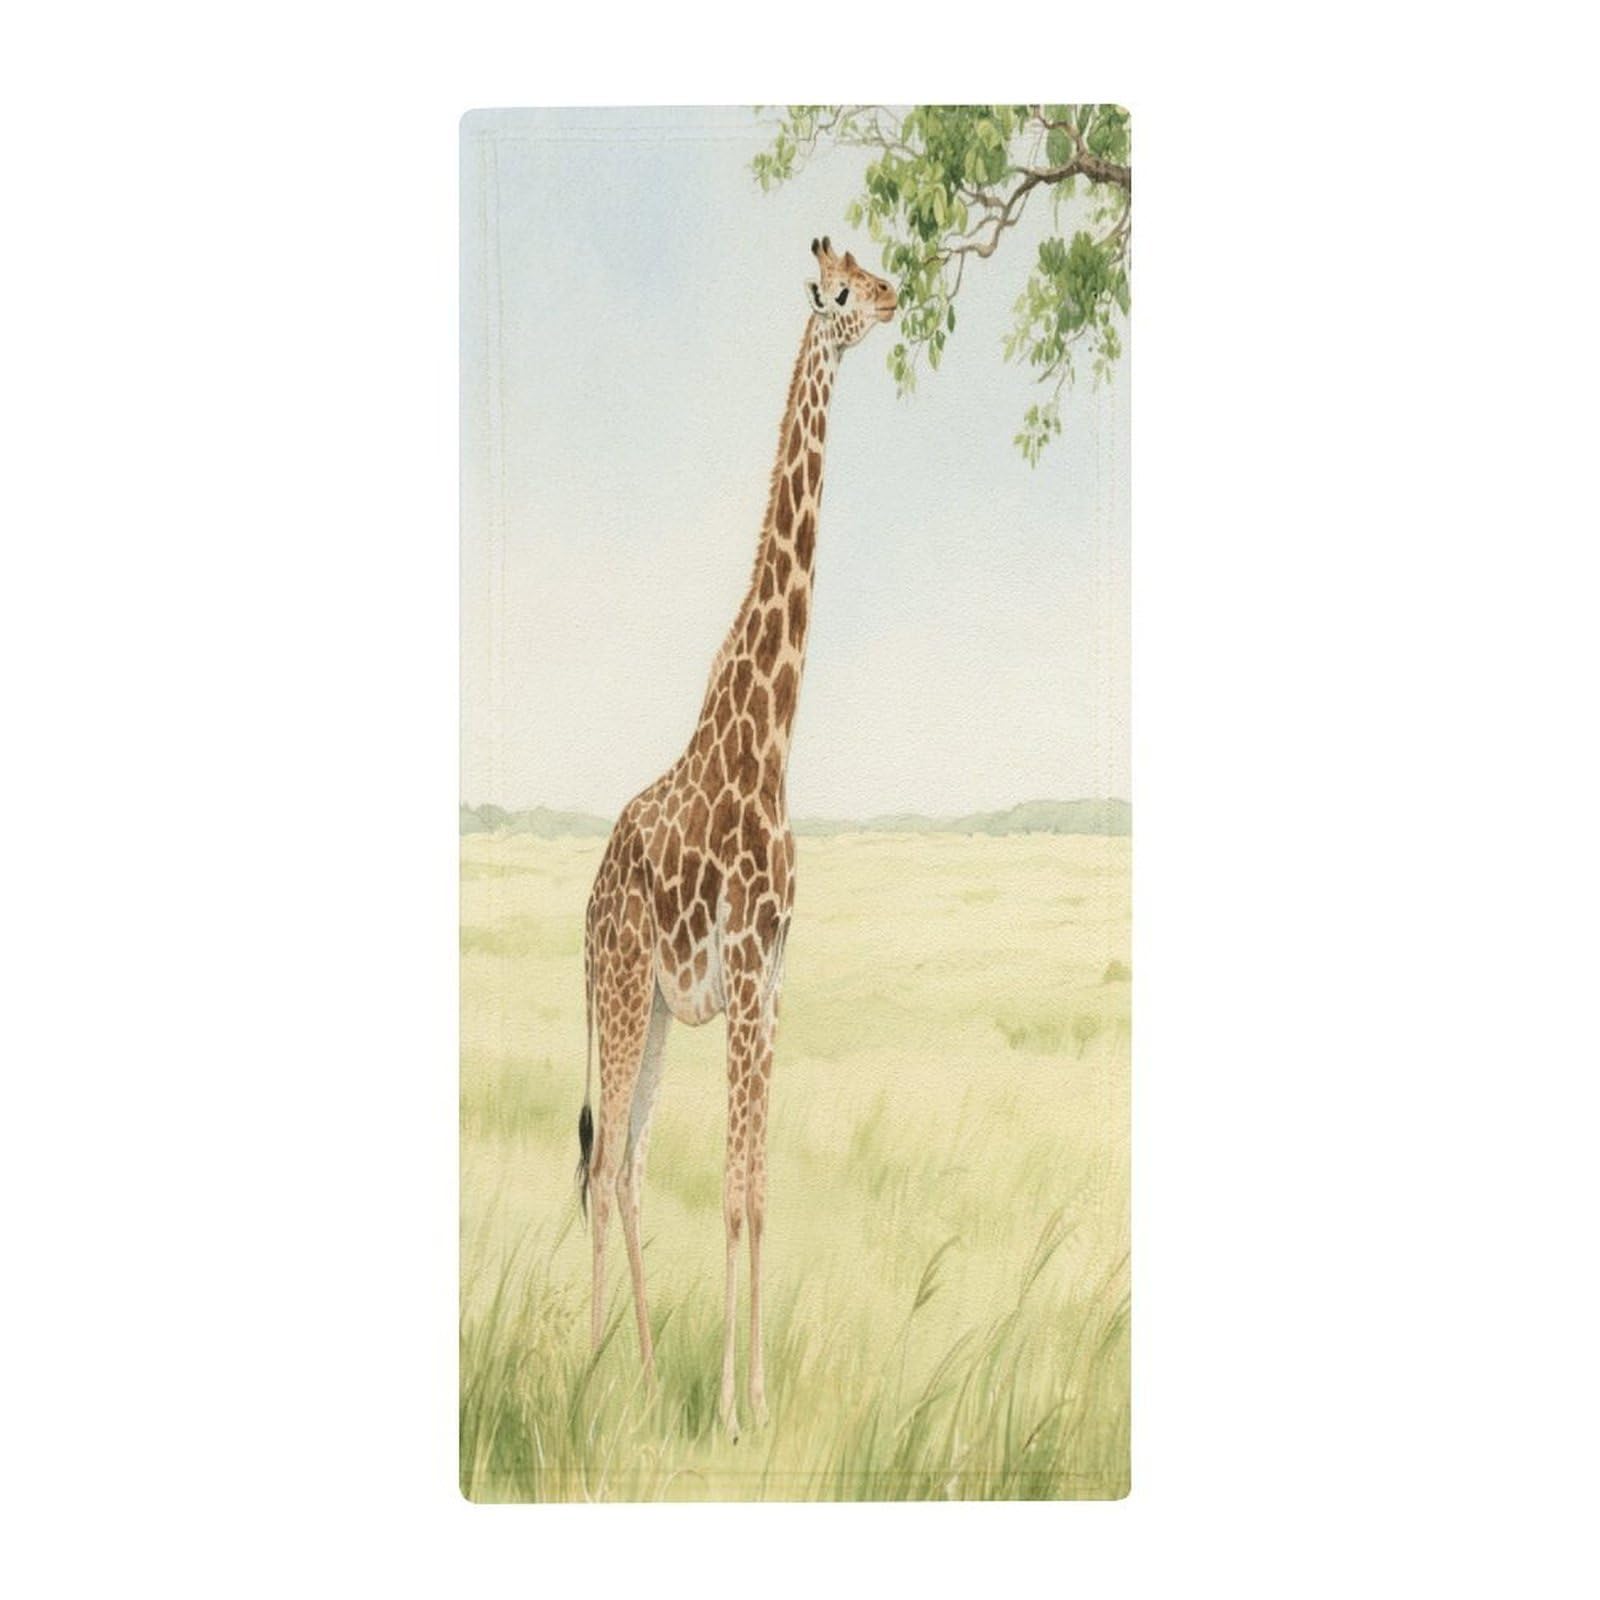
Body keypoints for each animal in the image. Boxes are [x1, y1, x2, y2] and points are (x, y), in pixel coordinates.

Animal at [574, 236, 897, 1439]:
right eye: (842, 290)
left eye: (870, 269)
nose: (893, 301)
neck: (771, 742)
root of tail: (582, 905)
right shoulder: (747, 976)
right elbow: (727, 1192)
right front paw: (726, 1408)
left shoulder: (771, 983)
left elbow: (757, 1189)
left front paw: (750, 1394)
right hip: (629, 990)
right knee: (602, 1168)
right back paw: (593, 1372)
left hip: (663, 1010)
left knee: (624, 1162)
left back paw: (635, 1371)